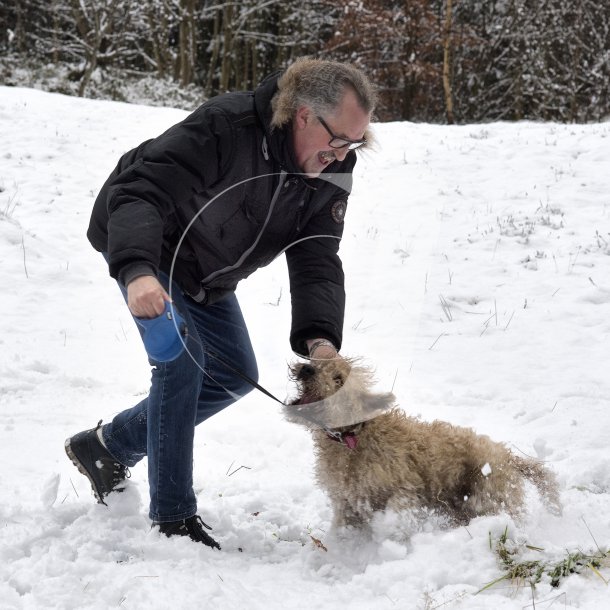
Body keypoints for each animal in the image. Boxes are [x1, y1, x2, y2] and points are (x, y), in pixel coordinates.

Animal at [284, 356, 560, 528]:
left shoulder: (406, 488)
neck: (353, 437)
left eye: (338, 378)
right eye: (316, 362)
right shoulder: (347, 502)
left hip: (488, 494)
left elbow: (398, 512)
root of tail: (509, 457)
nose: (307, 369)